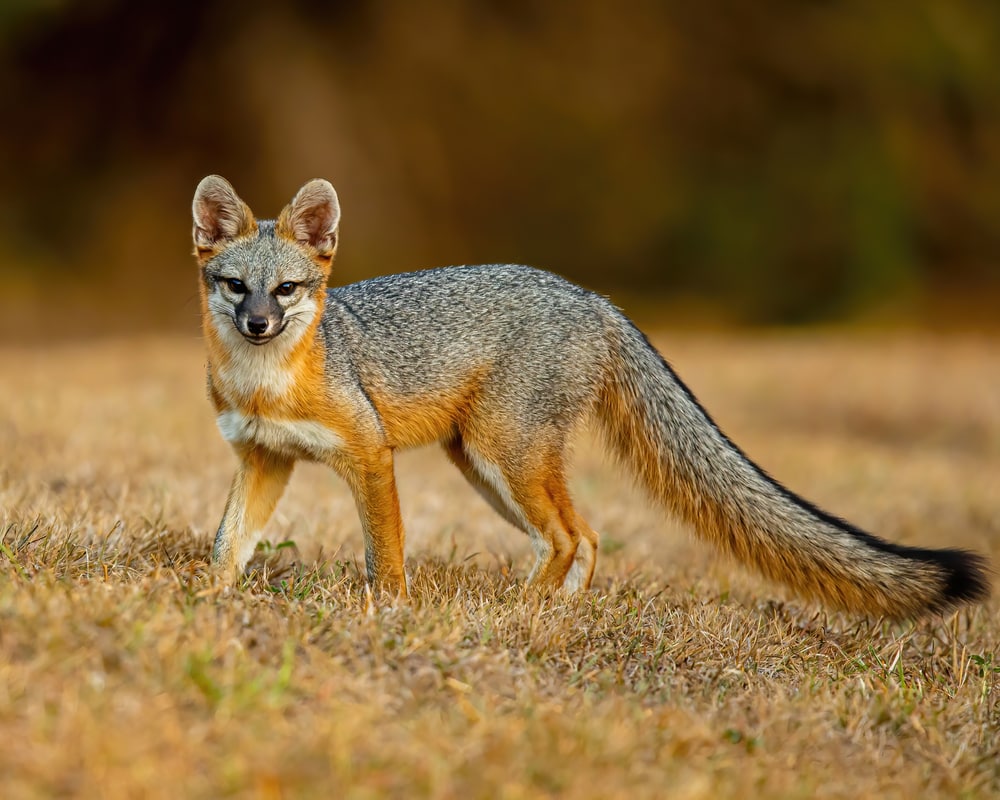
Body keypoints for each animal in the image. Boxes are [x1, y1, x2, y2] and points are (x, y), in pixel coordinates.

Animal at [192, 175, 989, 618]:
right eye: (235, 286)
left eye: (286, 289)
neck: (269, 384)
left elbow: (383, 555)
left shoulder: (370, 454)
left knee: (571, 536)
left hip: (502, 457)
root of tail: (595, 298)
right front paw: (208, 603)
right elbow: (229, 542)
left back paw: (525, 611)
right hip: (485, 470)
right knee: (589, 535)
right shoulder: (264, 460)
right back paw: (558, 612)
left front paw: (388, 612)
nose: (257, 323)